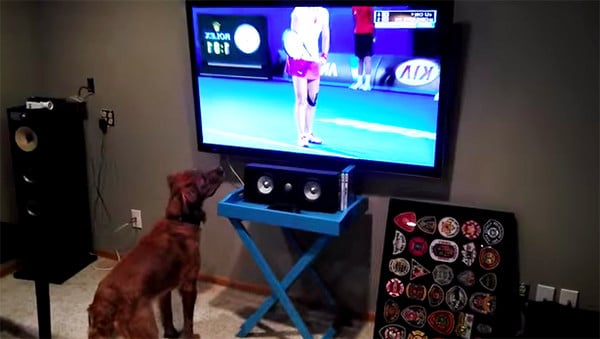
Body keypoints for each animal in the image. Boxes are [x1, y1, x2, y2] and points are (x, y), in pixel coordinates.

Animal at [90, 167, 226, 339]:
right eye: (202, 178)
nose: (221, 169)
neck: (179, 220)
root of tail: (103, 302)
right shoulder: (189, 283)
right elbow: (188, 319)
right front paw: (189, 335)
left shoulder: (164, 289)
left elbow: (167, 313)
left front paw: (171, 333)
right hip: (146, 326)